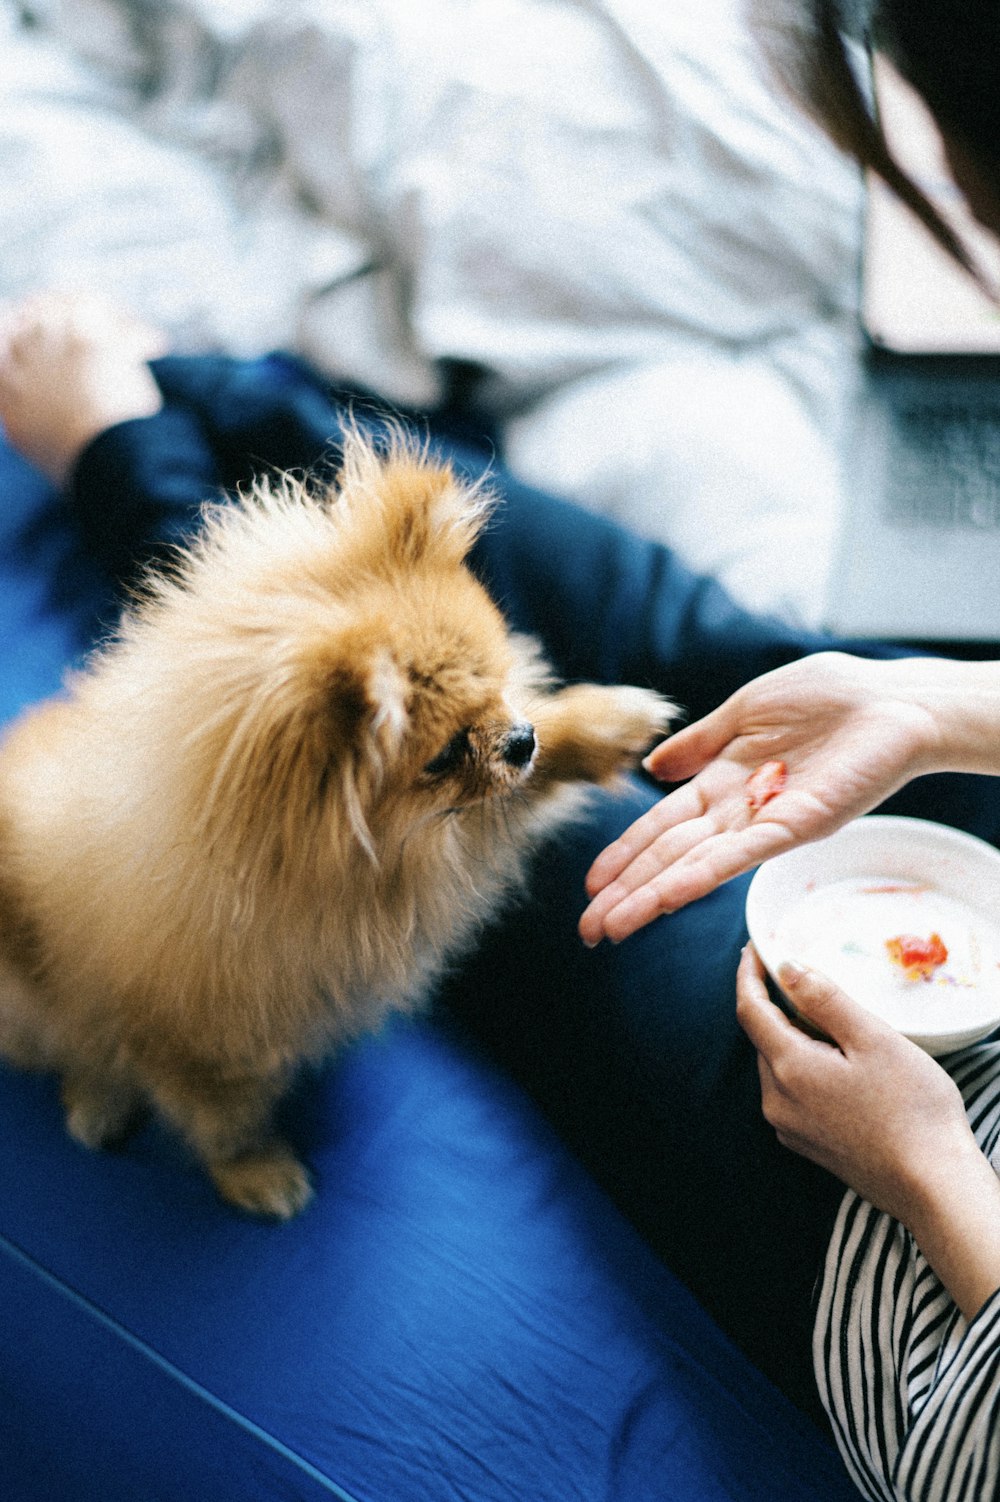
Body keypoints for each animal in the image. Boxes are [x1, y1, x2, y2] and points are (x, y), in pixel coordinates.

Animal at [0, 426, 672, 1219]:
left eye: (500, 682)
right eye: (444, 755)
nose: (519, 740)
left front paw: (605, 723)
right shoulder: (197, 1045)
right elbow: (222, 1121)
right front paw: (258, 1173)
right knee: (69, 1042)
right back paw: (96, 1103)